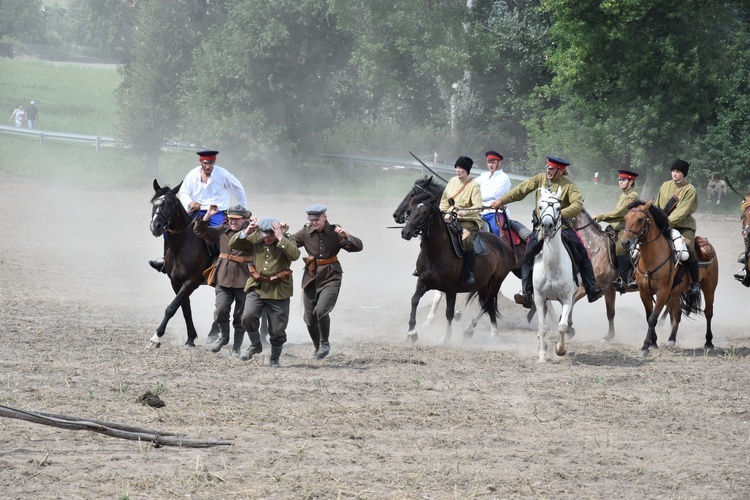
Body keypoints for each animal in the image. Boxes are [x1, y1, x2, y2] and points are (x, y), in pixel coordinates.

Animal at [145, 180, 213, 348]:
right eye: (154, 203)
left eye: (169, 203)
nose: (155, 226)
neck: (183, 246)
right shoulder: (176, 283)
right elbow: (184, 308)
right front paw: (191, 338)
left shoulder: (191, 282)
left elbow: (171, 308)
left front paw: (156, 337)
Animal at [528, 188, 580, 364]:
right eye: (541, 206)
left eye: (558, 207)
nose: (547, 225)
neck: (551, 267)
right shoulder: (539, 298)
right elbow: (543, 327)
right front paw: (542, 356)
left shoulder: (567, 298)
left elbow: (562, 326)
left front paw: (560, 349)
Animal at [620, 197, 720, 358]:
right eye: (626, 218)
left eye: (640, 219)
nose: (625, 242)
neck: (652, 258)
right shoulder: (644, 292)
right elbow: (649, 317)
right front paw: (653, 343)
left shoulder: (662, 292)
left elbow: (653, 319)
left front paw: (645, 347)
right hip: (674, 293)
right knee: (677, 314)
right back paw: (672, 339)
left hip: (709, 288)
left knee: (708, 312)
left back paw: (709, 342)